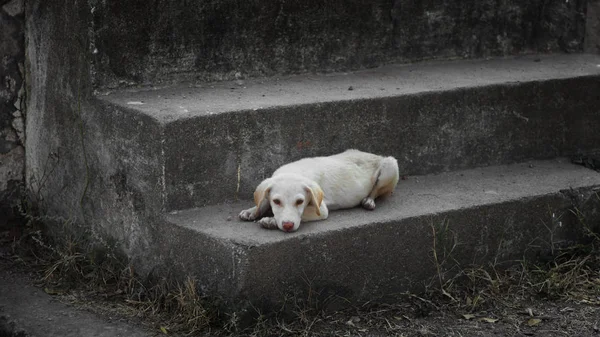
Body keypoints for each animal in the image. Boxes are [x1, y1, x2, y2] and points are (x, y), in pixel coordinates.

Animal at [238, 149, 398, 231]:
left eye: (300, 201)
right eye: (276, 201)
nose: (288, 226)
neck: (293, 171)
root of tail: (376, 155)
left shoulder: (320, 209)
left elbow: (302, 214)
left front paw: (271, 220)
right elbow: (263, 200)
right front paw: (252, 210)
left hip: (390, 165)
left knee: (376, 191)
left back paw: (369, 200)